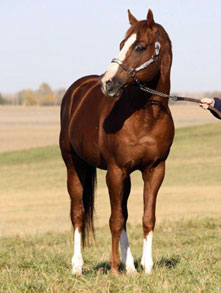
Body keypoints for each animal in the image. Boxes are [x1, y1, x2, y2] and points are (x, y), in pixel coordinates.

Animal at [60, 9, 174, 274]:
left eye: (140, 47)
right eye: (122, 45)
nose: (107, 83)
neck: (147, 117)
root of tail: (76, 89)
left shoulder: (155, 170)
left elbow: (146, 217)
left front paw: (147, 267)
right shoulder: (114, 171)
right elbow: (115, 219)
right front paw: (113, 267)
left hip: (126, 176)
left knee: (123, 212)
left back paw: (130, 266)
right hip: (74, 166)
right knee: (78, 213)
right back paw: (77, 266)